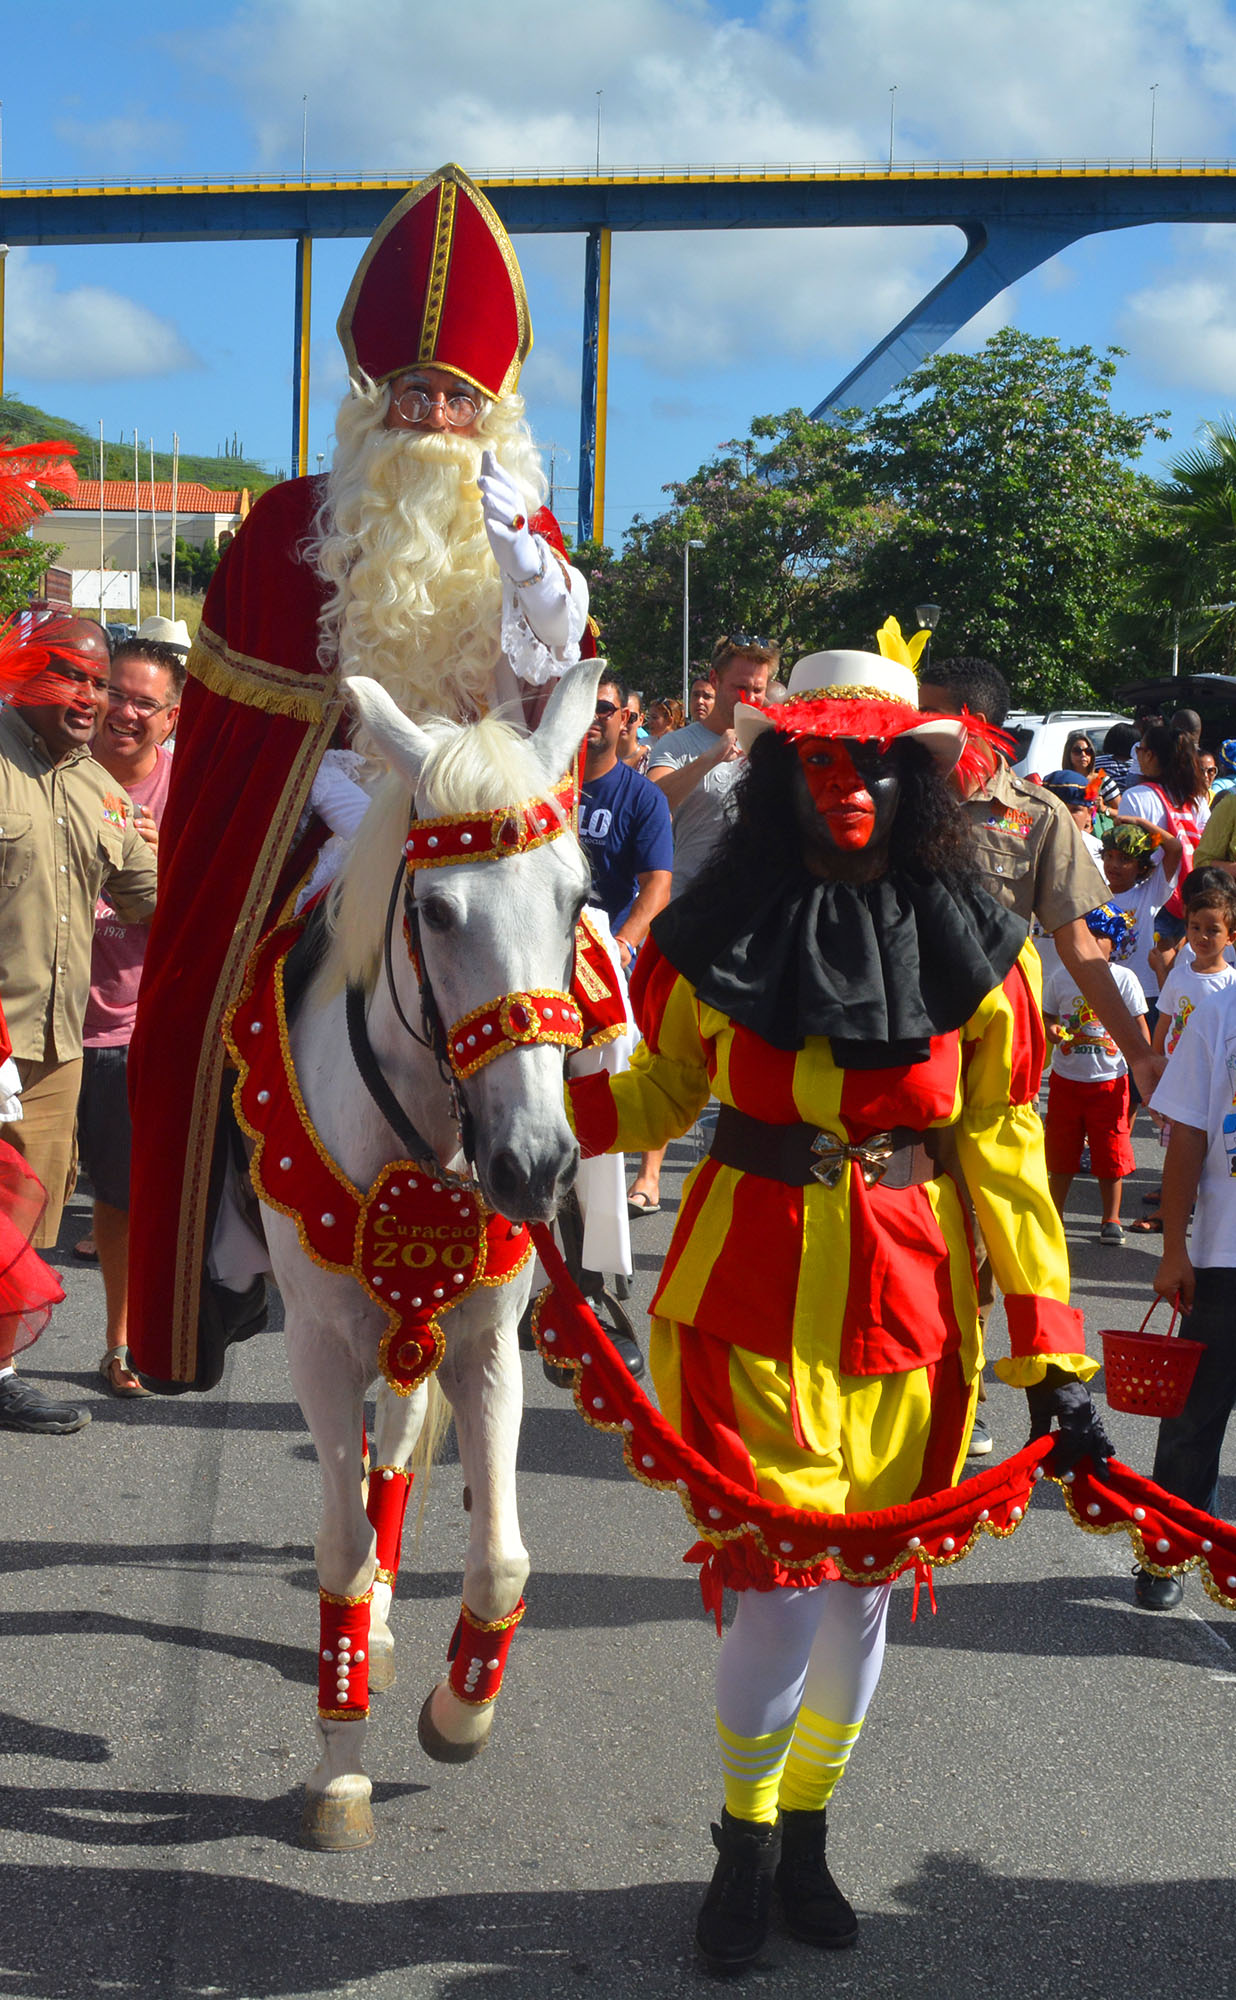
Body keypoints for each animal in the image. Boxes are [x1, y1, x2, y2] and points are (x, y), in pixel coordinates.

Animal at [244, 664, 596, 1848]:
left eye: (578, 899)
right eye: (438, 911)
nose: (534, 1164)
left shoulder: (485, 1341)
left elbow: (500, 1555)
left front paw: (460, 1711)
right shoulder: (315, 1344)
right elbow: (339, 1543)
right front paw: (340, 1768)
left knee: (394, 1451)